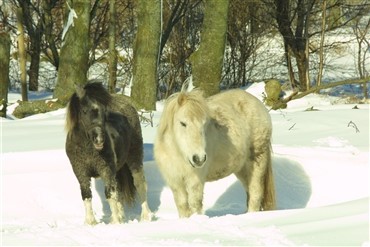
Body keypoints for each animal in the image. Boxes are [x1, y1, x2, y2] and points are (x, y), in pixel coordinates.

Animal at [65, 81, 152, 224]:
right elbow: (86, 195)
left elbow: (110, 194)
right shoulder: (80, 172)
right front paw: (91, 223)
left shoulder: (106, 170)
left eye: (104, 111)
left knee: (140, 184)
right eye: (84, 111)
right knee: (118, 189)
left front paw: (115, 222)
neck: (88, 148)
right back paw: (122, 216)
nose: (99, 139)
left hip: (135, 157)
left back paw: (145, 216)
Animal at [153, 89, 274, 218]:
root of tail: (259, 105)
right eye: (183, 123)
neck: (178, 153)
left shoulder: (195, 180)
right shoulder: (174, 181)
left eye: (204, 124)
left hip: (257, 161)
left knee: (256, 193)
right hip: (242, 169)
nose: (199, 158)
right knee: (250, 193)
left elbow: (195, 204)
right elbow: (182, 205)